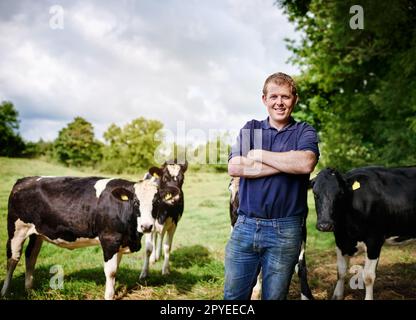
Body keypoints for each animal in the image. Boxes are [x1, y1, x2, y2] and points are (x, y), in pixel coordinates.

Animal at [0, 172, 179, 300]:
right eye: (136, 202)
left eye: (156, 202)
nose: (147, 226)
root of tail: (24, 180)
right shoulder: (109, 240)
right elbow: (111, 272)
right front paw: (109, 296)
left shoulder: (120, 243)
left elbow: (116, 270)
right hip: (16, 229)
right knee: (12, 259)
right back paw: (5, 291)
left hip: (37, 233)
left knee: (31, 256)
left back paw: (29, 289)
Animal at [310, 168, 416, 300]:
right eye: (315, 193)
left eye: (340, 193)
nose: (324, 225)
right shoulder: (340, 241)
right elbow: (341, 271)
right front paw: (337, 295)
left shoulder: (374, 241)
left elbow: (368, 277)